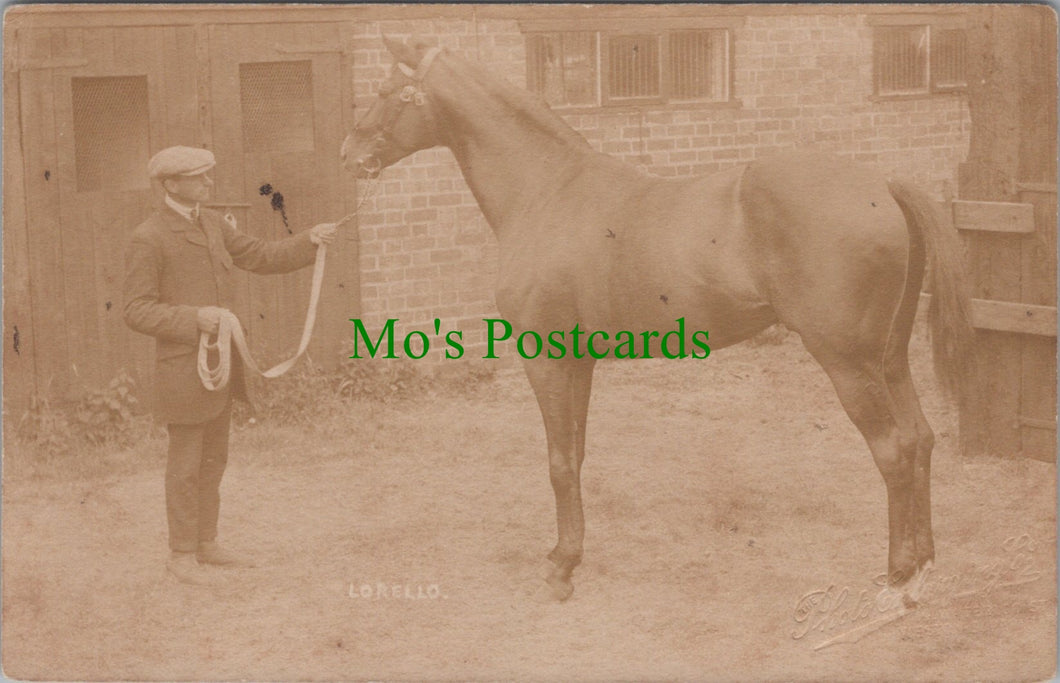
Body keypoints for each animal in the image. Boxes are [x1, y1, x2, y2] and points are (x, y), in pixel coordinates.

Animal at [341, 37, 975, 602]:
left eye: (387, 90)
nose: (349, 155)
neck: (547, 192)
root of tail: (882, 185)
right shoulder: (579, 360)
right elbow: (576, 454)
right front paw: (568, 555)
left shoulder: (545, 357)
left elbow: (557, 461)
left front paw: (561, 570)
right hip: (889, 357)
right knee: (920, 439)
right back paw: (923, 563)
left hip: (847, 362)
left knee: (892, 450)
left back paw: (897, 574)